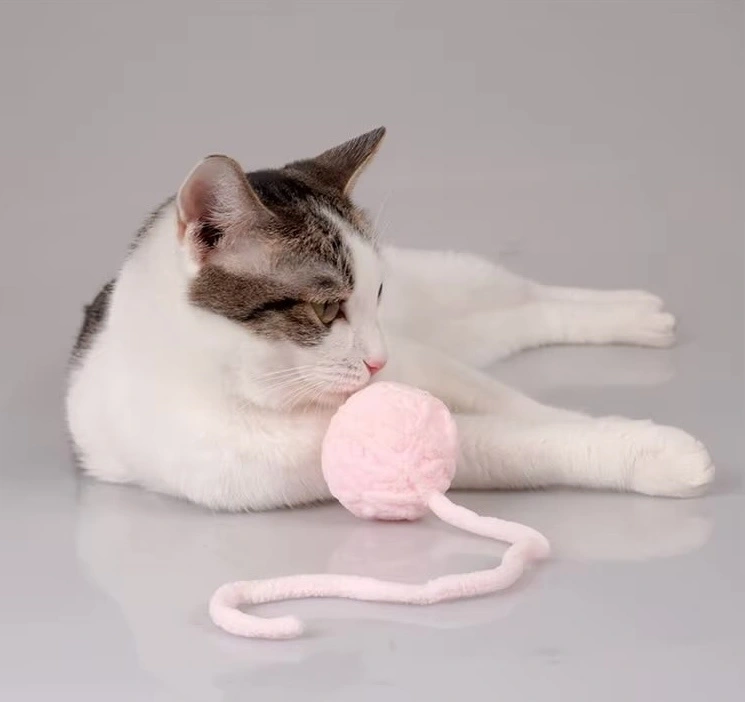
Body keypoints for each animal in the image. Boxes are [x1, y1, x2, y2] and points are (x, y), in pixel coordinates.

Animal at [65, 127, 714, 511]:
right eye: (327, 308)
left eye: (377, 292)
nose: (379, 360)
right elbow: (524, 440)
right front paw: (658, 452)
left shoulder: (421, 361)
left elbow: (524, 408)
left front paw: (590, 419)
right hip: (460, 330)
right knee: (515, 319)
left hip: (447, 290)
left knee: (526, 296)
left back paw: (638, 311)